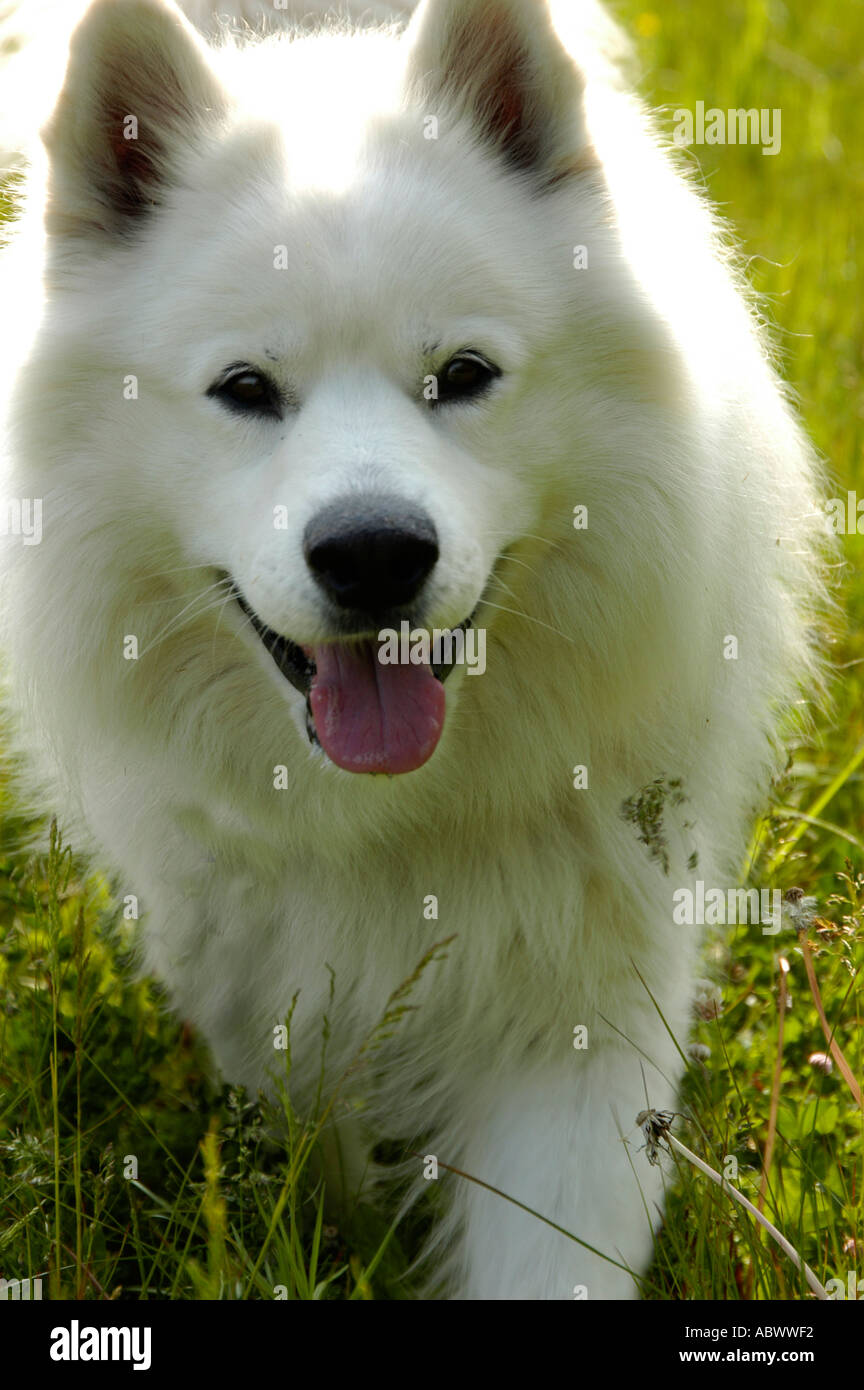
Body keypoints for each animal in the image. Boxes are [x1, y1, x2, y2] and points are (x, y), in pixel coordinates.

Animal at [0, 2, 827, 1301]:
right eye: (245, 389)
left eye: (464, 377)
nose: (375, 553)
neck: (398, 814)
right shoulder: (259, 970)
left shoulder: (591, 989)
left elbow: (555, 1248)